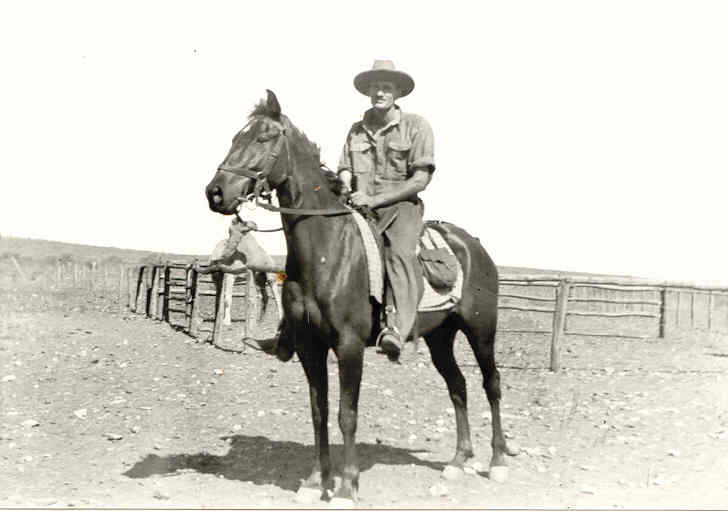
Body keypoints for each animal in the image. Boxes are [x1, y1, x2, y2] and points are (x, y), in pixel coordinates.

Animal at [204, 90, 516, 505]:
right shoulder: (309, 346)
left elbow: (346, 415)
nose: (215, 192)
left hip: (481, 330)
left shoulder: (349, 346)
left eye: (263, 138)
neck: (328, 250)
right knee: (458, 386)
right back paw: (457, 460)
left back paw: (497, 462)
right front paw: (315, 482)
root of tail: (473, 245)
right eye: (235, 137)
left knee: (491, 384)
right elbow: (318, 413)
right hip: (440, 336)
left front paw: (346, 486)